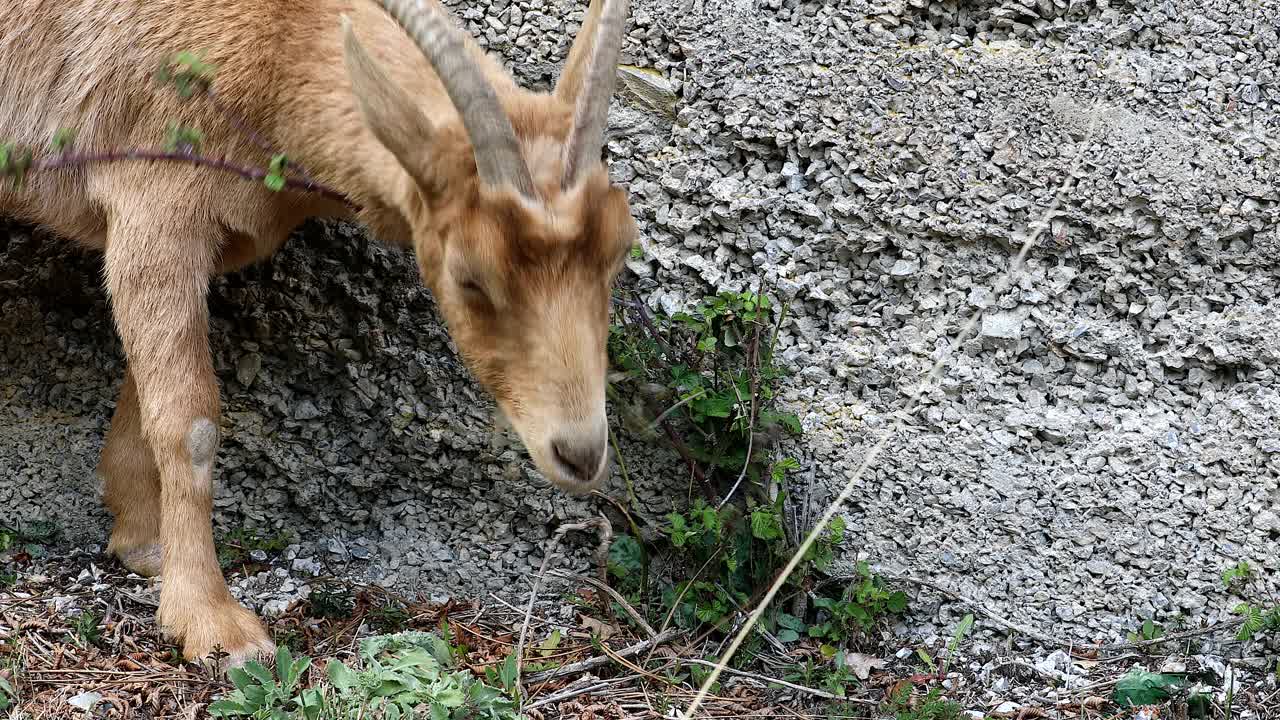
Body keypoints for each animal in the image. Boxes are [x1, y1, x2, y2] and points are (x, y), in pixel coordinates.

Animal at [0, 0, 637, 666]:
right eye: (470, 276)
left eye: (621, 248)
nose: (580, 452)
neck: (279, 45)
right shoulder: (152, 204)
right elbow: (190, 420)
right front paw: (211, 622)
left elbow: (147, 394)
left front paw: (144, 545)